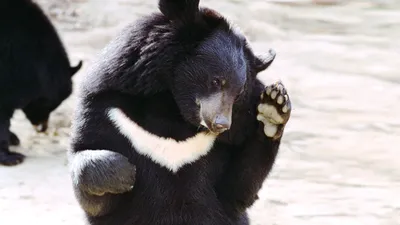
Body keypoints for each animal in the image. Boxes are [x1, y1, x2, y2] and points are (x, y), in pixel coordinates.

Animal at [67, 0, 290, 225]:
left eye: (239, 92)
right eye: (216, 81)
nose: (221, 124)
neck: (172, 112)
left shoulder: (236, 131)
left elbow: (240, 189)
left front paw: (273, 108)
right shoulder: (108, 111)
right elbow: (93, 186)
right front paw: (123, 173)